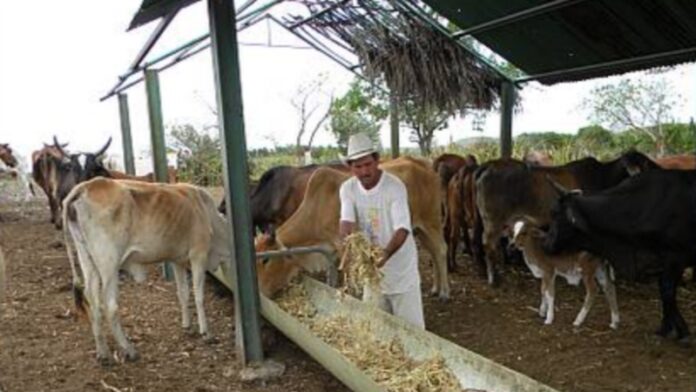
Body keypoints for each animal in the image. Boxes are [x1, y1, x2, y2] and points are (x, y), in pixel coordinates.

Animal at [256, 156, 452, 300]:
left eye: (266, 260)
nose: (261, 293)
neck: (317, 208)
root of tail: (425, 164)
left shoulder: (344, 248)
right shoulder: (330, 252)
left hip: (432, 221)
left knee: (441, 249)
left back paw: (444, 292)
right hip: (419, 229)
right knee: (433, 252)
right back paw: (435, 288)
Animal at [474, 151, 656, 284]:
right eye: (645, 164)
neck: (604, 177)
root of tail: (489, 166)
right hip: (493, 221)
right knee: (488, 244)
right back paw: (494, 279)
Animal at [544, 170, 696, 342]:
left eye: (555, 214)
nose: (546, 245)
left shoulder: (676, 256)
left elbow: (667, 289)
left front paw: (681, 331)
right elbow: (664, 290)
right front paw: (666, 328)